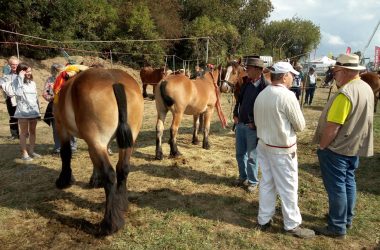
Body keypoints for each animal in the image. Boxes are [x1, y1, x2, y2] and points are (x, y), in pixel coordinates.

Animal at [55, 67, 145, 235]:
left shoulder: (61, 127)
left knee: (110, 174)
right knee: (123, 168)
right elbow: (93, 158)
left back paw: (109, 224)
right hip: (128, 139)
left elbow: (66, 154)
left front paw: (64, 180)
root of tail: (115, 82)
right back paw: (121, 204)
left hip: (96, 139)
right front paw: (95, 179)